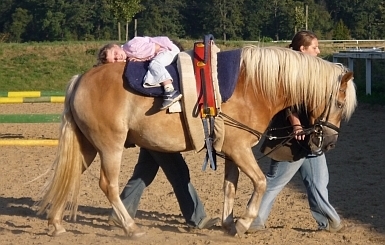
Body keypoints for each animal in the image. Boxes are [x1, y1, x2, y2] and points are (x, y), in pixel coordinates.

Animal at [36, 46, 356, 237]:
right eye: (340, 103)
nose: (329, 142)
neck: (252, 86)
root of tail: (80, 79)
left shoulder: (231, 152)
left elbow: (230, 186)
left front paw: (228, 223)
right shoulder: (239, 150)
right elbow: (260, 183)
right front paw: (243, 223)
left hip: (89, 147)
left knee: (71, 174)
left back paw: (56, 223)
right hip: (110, 147)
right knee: (108, 185)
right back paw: (131, 227)